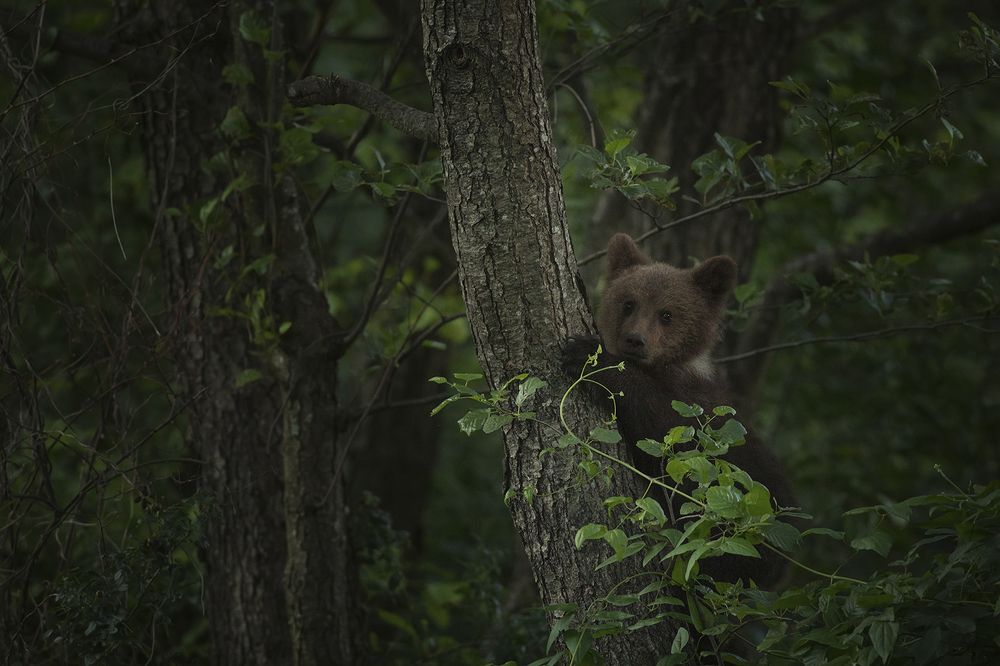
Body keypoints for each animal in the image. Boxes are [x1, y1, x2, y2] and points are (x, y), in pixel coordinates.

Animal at [562, 232, 793, 588]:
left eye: (667, 314)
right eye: (628, 303)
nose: (635, 340)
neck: (666, 368)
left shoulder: (696, 409)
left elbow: (665, 429)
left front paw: (590, 356)